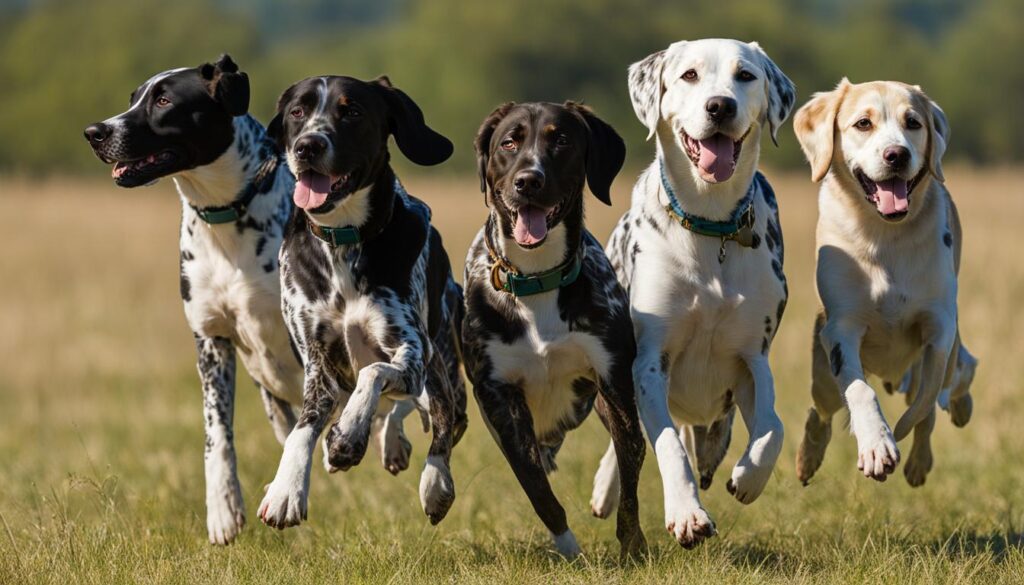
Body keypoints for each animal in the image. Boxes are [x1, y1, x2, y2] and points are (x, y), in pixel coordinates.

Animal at [83, 54, 303, 545]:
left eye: (164, 101)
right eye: (133, 98)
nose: (94, 131)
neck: (226, 214)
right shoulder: (211, 341)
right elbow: (216, 434)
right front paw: (223, 508)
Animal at [256, 75, 468, 528]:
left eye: (350, 111)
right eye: (297, 112)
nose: (308, 146)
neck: (344, 240)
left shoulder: (411, 350)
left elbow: (373, 372)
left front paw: (349, 435)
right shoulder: (318, 362)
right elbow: (303, 427)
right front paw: (286, 488)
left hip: (440, 364)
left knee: (445, 420)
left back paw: (433, 481)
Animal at [466, 102, 647, 561]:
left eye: (560, 139)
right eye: (509, 142)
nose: (528, 180)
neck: (537, 278)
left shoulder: (615, 381)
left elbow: (632, 469)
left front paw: (633, 546)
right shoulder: (499, 398)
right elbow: (536, 486)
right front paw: (568, 548)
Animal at [593, 39, 798, 549]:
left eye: (745, 75)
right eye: (688, 75)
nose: (720, 105)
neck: (711, 226)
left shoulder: (752, 359)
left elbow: (773, 427)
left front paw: (749, 476)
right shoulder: (650, 362)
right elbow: (666, 445)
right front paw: (687, 513)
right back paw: (608, 488)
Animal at [790, 79, 974, 487]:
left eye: (913, 123)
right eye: (863, 123)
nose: (896, 155)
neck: (884, 235)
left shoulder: (940, 329)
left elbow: (925, 403)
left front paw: (905, 441)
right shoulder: (841, 329)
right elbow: (860, 391)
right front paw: (876, 444)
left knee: (957, 378)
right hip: (822, 374)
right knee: (820, 411)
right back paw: (808, 457)